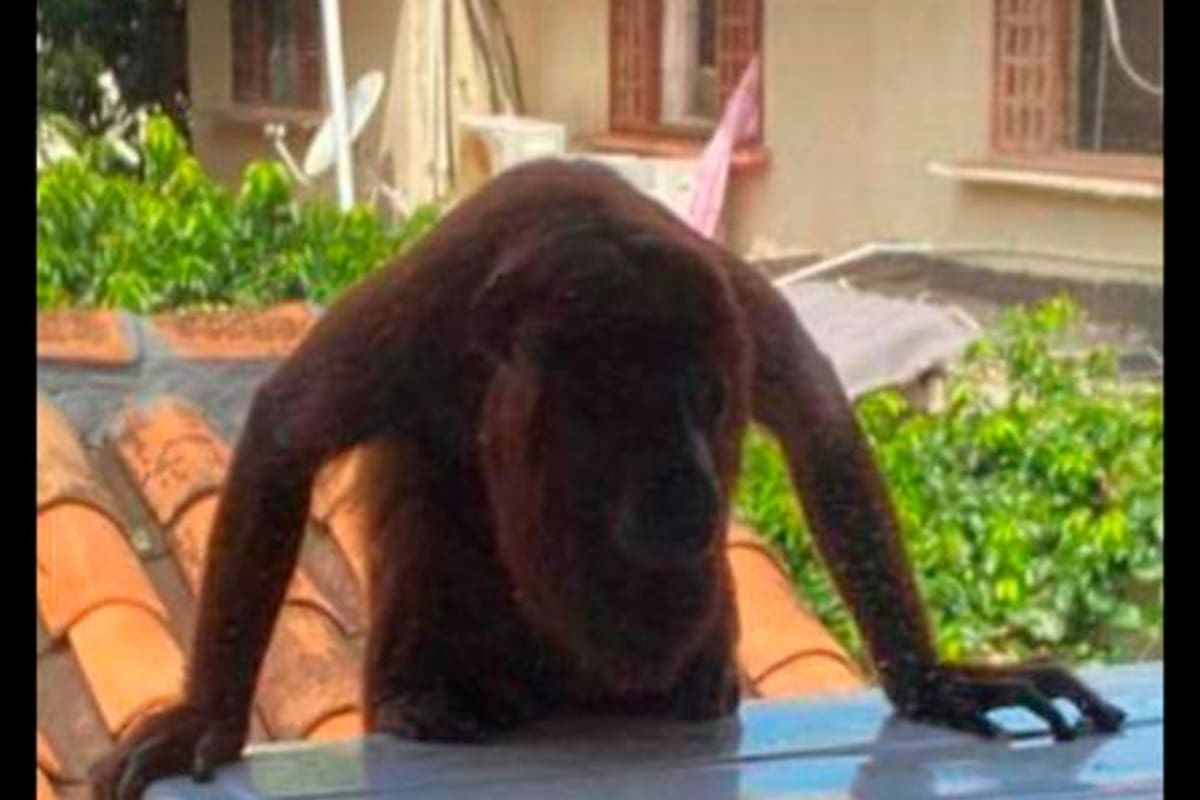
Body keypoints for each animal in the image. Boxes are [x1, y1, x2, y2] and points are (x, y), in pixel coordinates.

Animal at [90, 159, 1126, 799]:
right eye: (624, 408)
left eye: (707, 399)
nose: (689, 481)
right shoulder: (428, 301)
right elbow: (282, 432)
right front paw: (206, 718)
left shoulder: (729, 300)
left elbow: (821, 424)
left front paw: (934, 681)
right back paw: (430, 698)